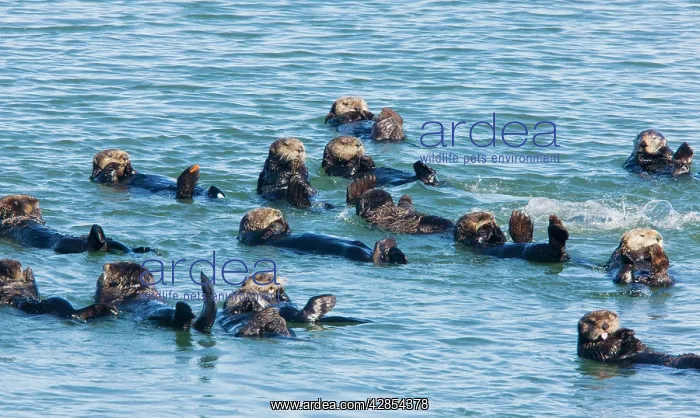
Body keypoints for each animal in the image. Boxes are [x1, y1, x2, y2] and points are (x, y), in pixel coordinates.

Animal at [90, 149, 225, 199]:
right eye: (110, 155)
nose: (126, 157)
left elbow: (132, 171)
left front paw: (129, 166)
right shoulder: (100, 178)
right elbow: (106, 175)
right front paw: (114, 166)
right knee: (183, 194)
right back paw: (191, 174)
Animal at [221, 273, 368, 337]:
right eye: (260, 278)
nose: (272, 278)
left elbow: (286, 299)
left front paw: (281, 292)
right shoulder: (233, 298)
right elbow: (235, 303)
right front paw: (253, 299)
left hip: (290, 316)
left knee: (300, 316)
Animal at [237, 207, 408, 264]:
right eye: (266, 213)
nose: (279, 213)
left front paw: (285, 222)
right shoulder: (256, 238)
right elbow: (267, 232)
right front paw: (278, 223)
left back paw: (396, 251)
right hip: (355, 253)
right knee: (374, 258)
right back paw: (386, 244)